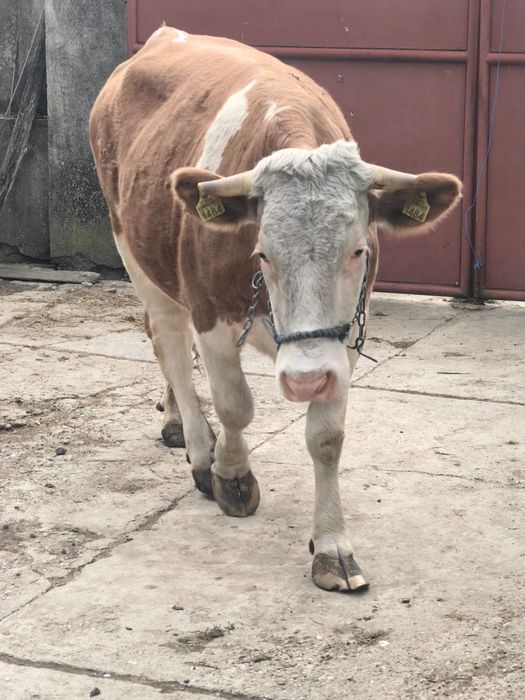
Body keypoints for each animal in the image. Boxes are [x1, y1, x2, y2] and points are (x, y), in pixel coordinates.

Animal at [90, 26, 462, 593]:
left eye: (358, 249)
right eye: (262, 252)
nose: (305, 380)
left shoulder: (341, 342)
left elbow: (327, 437)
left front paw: (332, 546)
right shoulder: (211, 315)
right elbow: (235, 405)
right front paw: (230, 474)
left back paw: (175, 419)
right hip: (133, 250)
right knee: (169, 344)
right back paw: (198, 447)